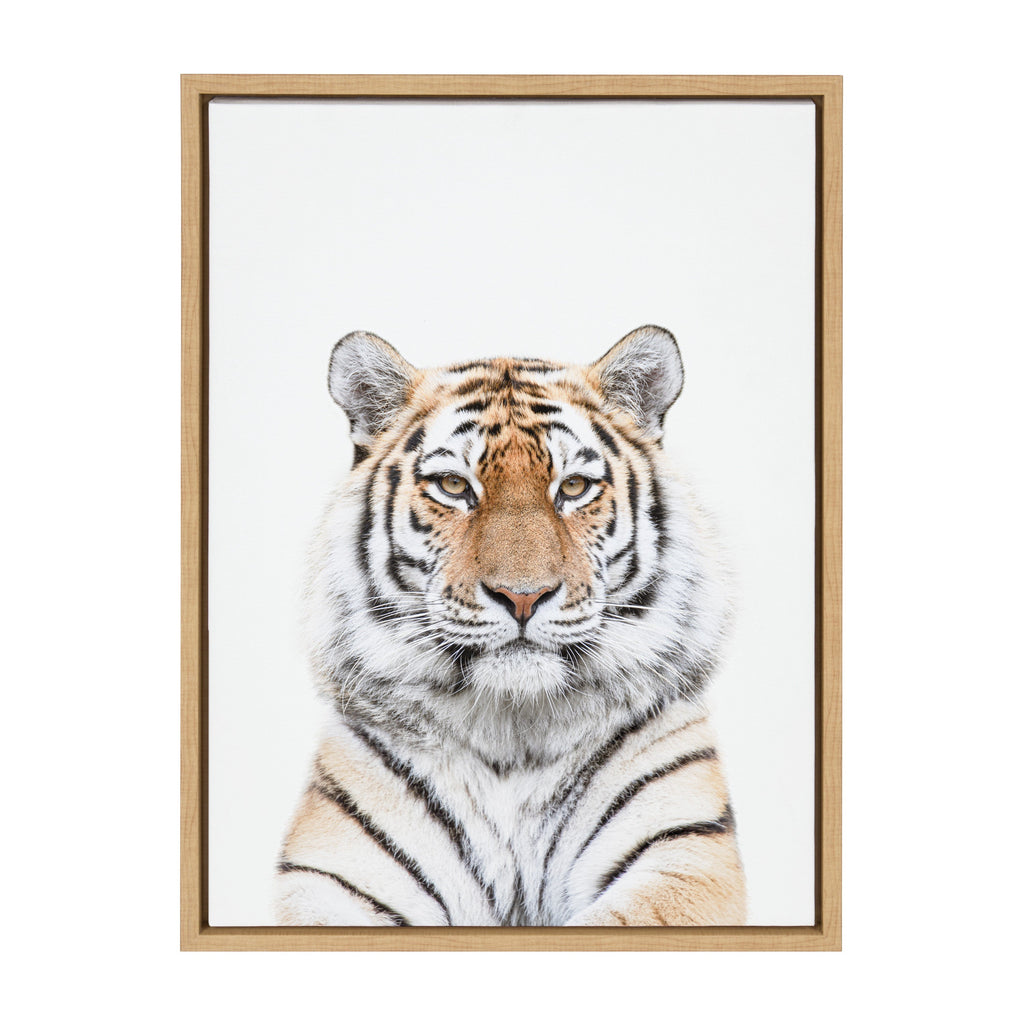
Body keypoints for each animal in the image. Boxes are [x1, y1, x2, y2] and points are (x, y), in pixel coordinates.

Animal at [275, 325, 746, 927]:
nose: (523, 596)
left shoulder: (684, 855)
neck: (513, 738)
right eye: (454, 486)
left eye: (574, 488)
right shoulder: (333, 877)